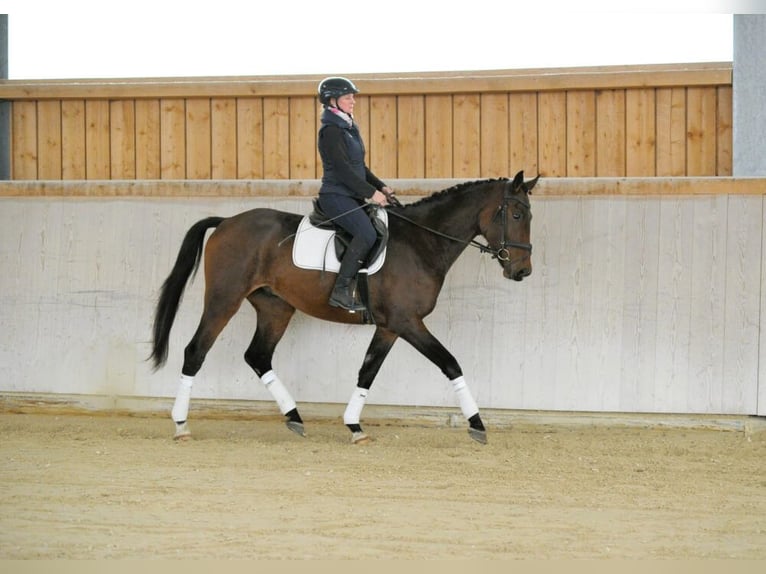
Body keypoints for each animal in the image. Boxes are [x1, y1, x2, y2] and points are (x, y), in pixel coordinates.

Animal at [150, 170, 537, 444]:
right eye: (517, 214)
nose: (522, 271)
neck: (421, 242)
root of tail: (226, 222)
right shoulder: (407, 322)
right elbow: (450, 363)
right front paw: (477, 423)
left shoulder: (389, 326)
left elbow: (367, 372)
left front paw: (354, 426)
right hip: (223, 299)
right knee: (195, 351)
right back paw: (181, 425)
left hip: (276, 308)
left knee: (258, 356)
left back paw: (294, 417)